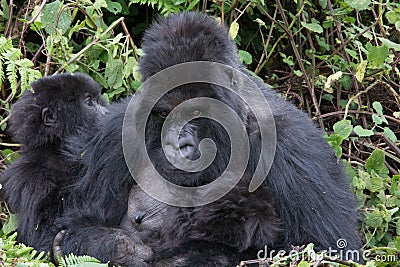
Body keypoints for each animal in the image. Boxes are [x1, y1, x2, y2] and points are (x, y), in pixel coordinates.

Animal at [0, 73, 107, 253]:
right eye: (89, 102)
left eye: (98, 100)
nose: (107, 112)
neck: (57, 152)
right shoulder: (33, 179)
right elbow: (40, 236)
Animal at [57, 11, 362, 266]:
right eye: (164, 112)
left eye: (196, 111)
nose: (177, 145)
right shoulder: (116, 132)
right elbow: (70, 224)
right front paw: (120, 249)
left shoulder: (295, 148)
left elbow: (325, 249)